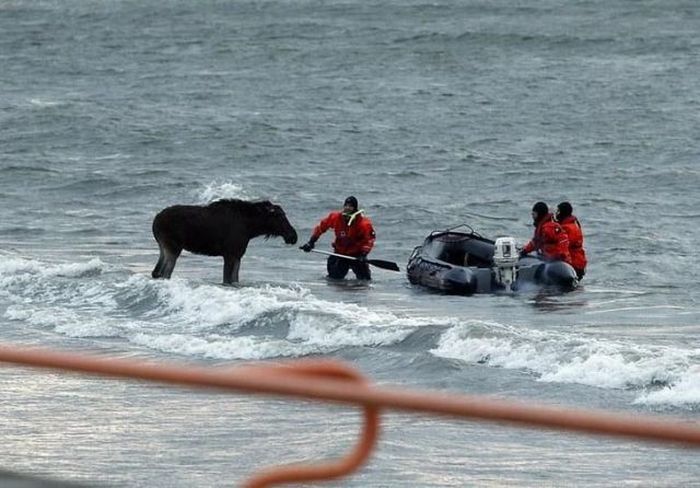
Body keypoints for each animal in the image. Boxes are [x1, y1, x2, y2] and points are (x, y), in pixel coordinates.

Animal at [152, 197, 296, 284]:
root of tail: (155, 222)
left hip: (163, 247)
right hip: (173, 247)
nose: (293, 236)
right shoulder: (230, 254)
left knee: (156, 272)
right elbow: (227, 280)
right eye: (280, 216)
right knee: (164, 273)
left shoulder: (237, 255)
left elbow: (234, 280)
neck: (251, 228)